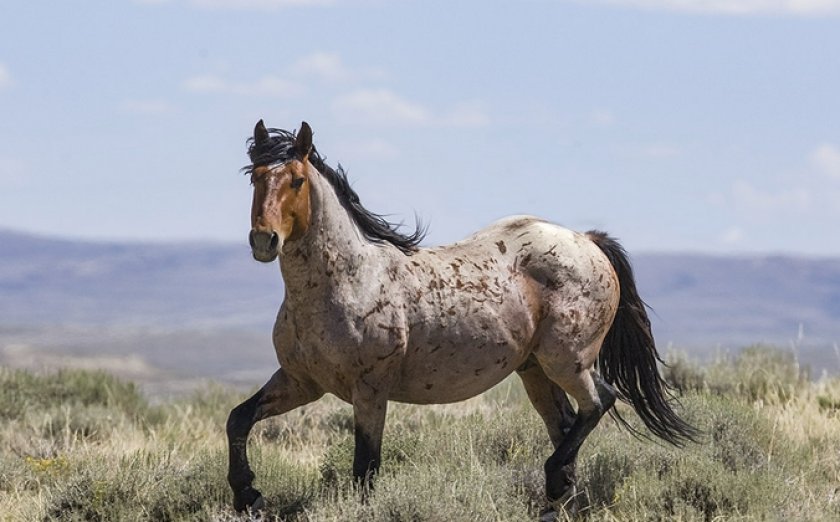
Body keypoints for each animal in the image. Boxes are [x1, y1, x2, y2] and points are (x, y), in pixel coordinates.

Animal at [225, 119, 696, 516]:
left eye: (297, 180)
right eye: (255, 176)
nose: (264, 240)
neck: (347, 280)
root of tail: (588, 241)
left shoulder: (370, 389)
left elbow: (365, 467)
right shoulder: (301, 382)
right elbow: (239, 419)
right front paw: (248, 494)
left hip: (566, 361)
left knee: (599, 402)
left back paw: (553, 482)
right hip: (535, 371)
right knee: (568, 422)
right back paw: (558, 499)